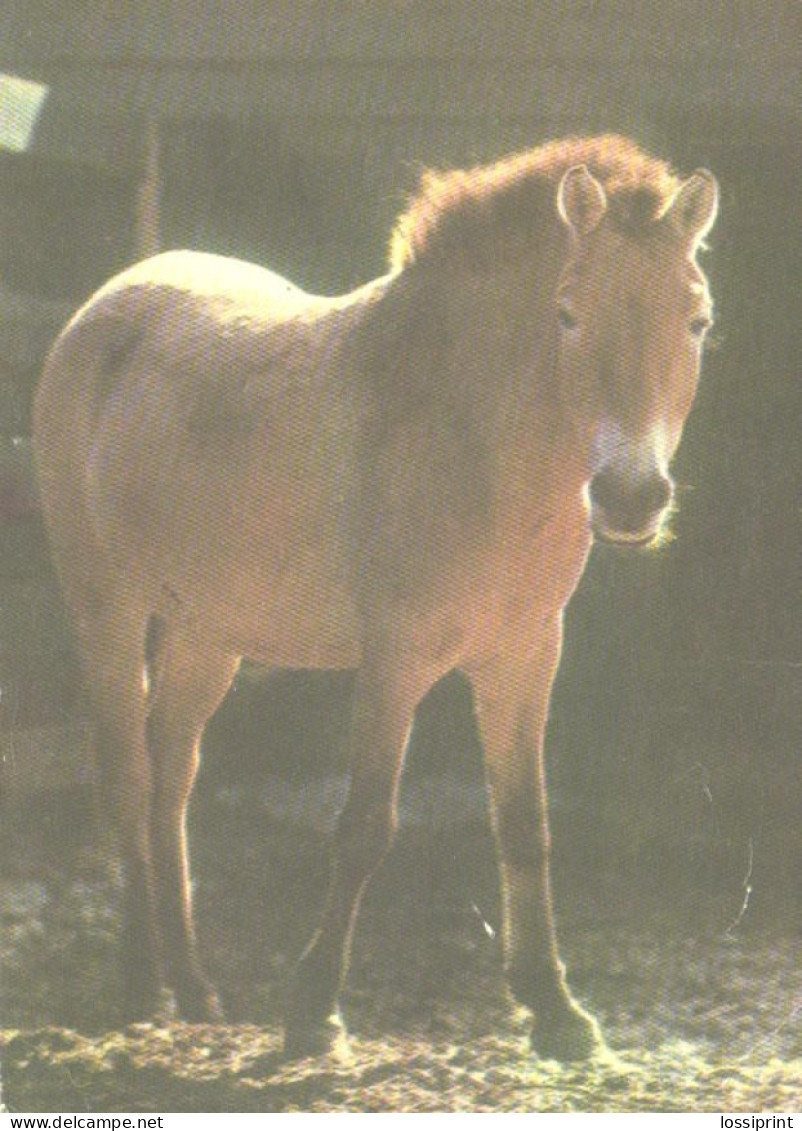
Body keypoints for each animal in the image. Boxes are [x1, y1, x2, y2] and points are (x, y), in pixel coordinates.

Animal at [32, 134, 719, 1058]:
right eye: (568, 314)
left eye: (697, 321)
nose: (631, 497)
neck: (470, 435)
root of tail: (100, 310)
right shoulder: (394, 660)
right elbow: (365, 826)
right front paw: (315, 1006)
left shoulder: (525, 656)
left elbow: (524, 822)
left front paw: (554, 1007)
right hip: (105, 606)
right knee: (128, 777)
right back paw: (142, 979)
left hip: (207, 632)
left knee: (172, 776)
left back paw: (193, 983)